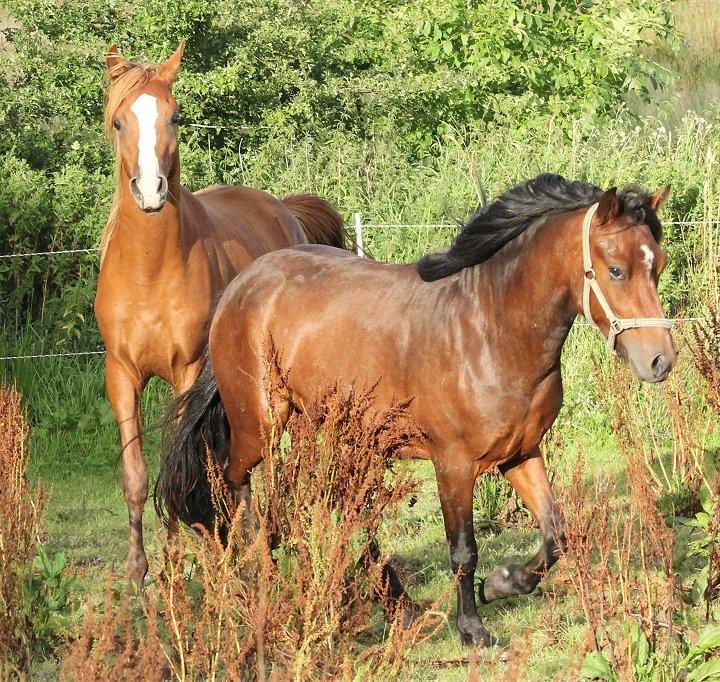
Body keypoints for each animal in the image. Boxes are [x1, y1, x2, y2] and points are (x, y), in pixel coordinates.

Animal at [94, 41, 348, 584]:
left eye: (174, 116)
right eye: (120, 122)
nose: (151, 190)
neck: (149, 271)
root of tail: (283, 208)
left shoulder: (187, 372)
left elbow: (178, 457)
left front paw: (181, 561)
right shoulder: (121, 375)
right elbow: (136, 476)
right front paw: (140, 572)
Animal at [156, 174, 676, 644]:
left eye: (659, 265)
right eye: (615, 270)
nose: (660, 360)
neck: (491, 329)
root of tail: (239, 288)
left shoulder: (521, 454)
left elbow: (556, 534)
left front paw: (501, 584)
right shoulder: (453, 465)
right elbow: (463, 550)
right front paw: (473, 628)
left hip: (328, 433)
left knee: (329, 507)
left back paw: (397, 605)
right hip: (260, 426)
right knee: (233, 485)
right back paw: (252, 580)